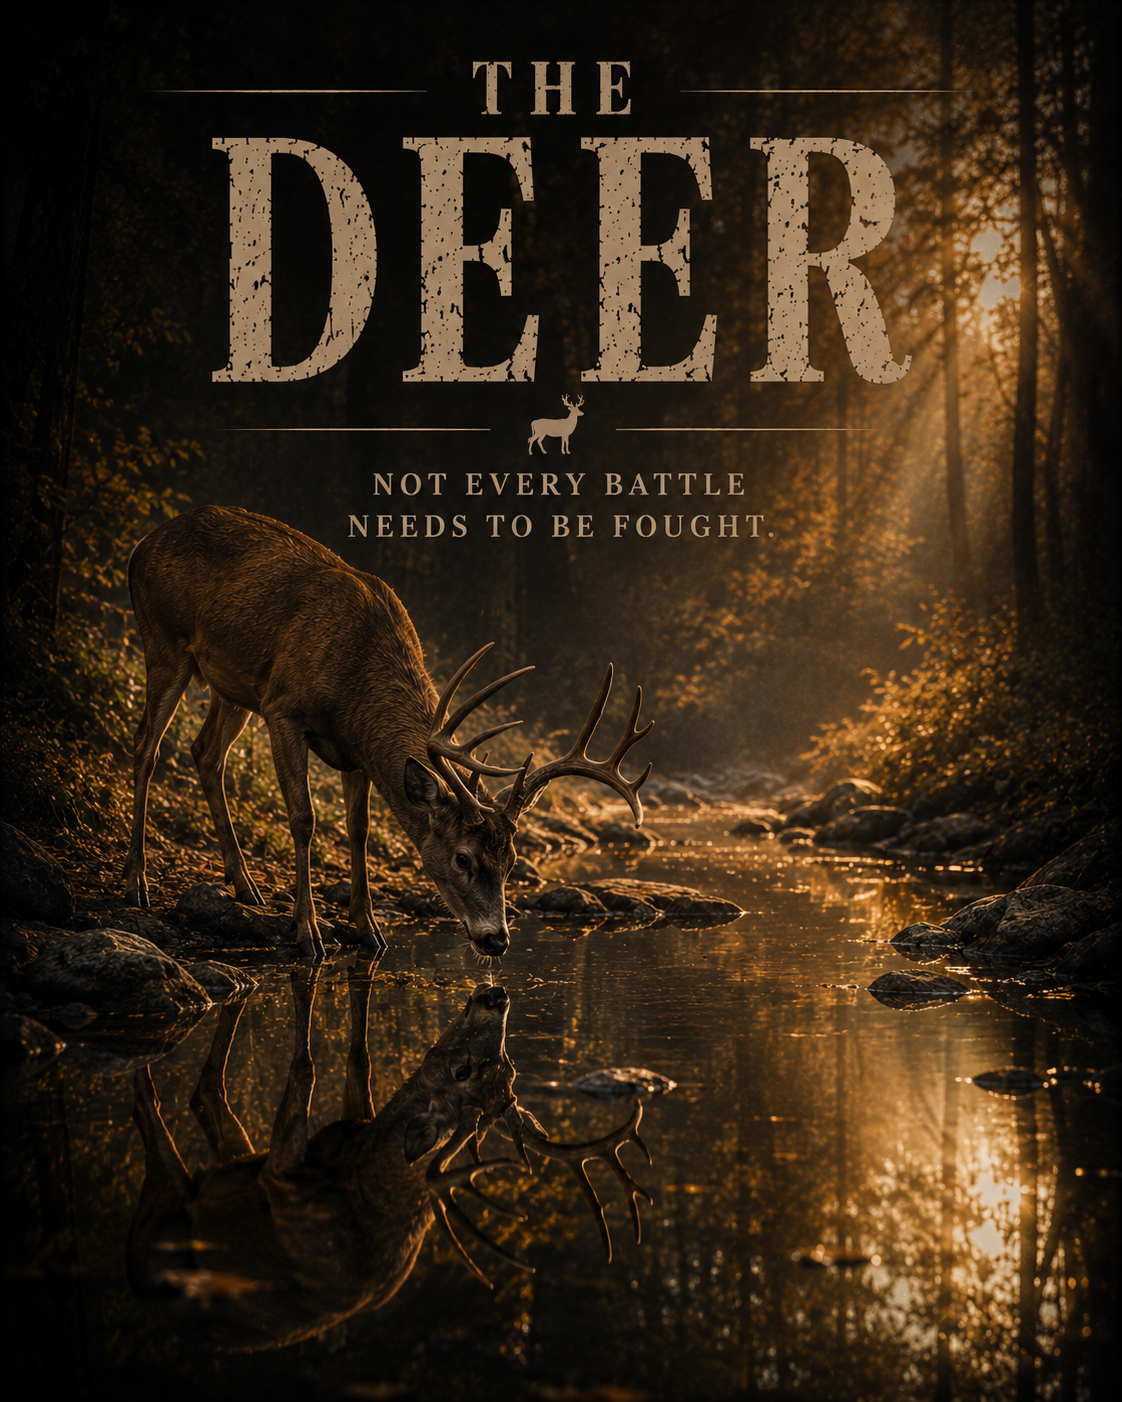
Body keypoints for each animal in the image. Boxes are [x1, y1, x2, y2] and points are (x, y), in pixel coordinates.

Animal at [124, 505, 652, 960]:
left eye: (512, 863)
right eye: (463, 859)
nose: (496, 941)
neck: (356, 683)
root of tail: (142, 543)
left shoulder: (356, 751)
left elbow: (357, 828)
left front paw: (369, 930)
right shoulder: (283, 709)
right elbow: (304, 818)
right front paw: (307, 933)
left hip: (232, 685)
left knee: (204, 751)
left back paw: (245, 886)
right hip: (164, 640)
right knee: (147, 745)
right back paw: (137, 883)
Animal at [127, 968, 654, 1352]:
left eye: (470, 1069)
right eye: (501, 1067)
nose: (496, 995)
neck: (359, 1178)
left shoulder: (284, 1185)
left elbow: (306, 1069)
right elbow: (358, 1060)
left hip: (162, 1222)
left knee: (172, 1118)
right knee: (205, 1102)